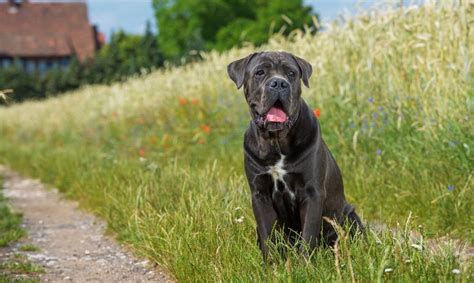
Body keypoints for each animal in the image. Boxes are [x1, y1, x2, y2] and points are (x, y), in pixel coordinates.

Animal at [227, 51, 362, 260]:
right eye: (260, 72)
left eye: (291, 73)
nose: (278, 83)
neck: (276, 142)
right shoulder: (260, 194)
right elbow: (267, 235)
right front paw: (272, 265)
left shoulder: (312, 192)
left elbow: (308, 234)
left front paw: (304, 264)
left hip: (350, 216)